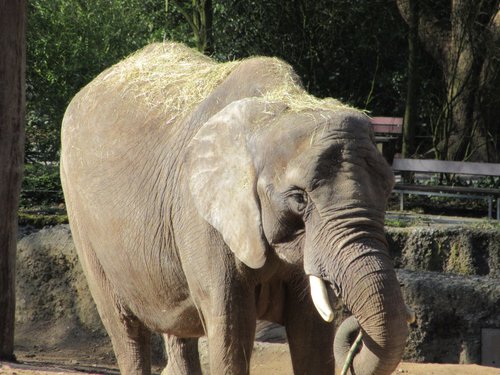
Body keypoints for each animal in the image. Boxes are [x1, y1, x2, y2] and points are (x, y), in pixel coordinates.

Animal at [60, 41, 412, 375]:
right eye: (299, 199)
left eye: (388, 191)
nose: (355, 336)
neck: (275, 111)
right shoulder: (201, 215)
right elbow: (231, 326)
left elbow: (311, 332)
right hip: (81, 219)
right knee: (126, 331)